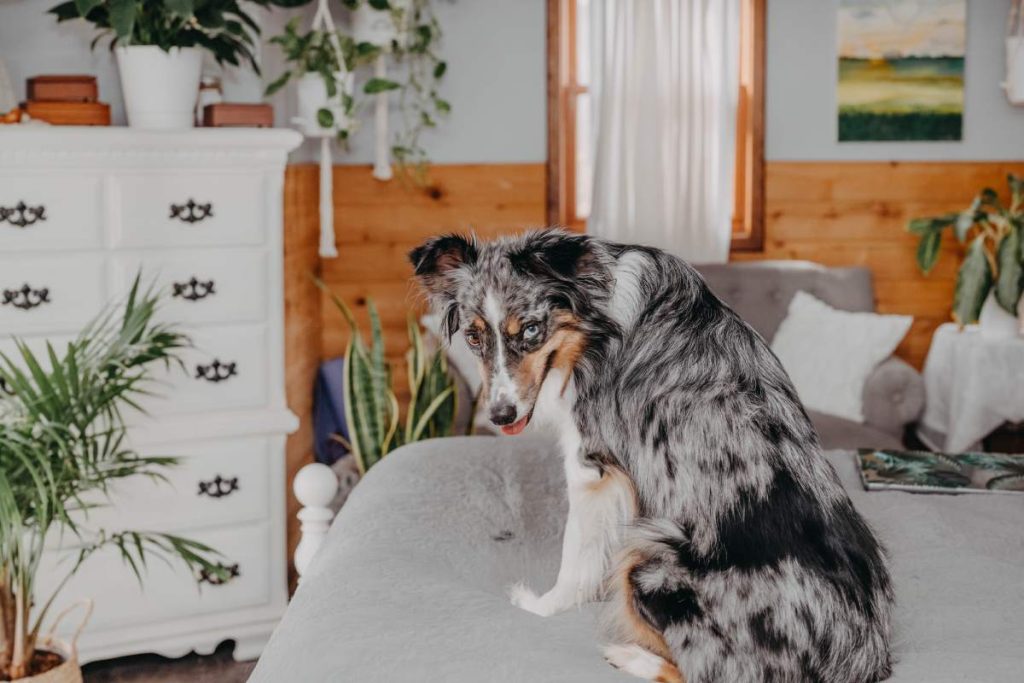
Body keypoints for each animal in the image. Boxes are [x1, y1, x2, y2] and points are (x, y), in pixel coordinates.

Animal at [407, 231, 888, 683]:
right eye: (473, 337)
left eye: (530, 330)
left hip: (650, 549)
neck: (595, 316)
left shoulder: (590, 465)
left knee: (708, 671)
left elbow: (575, 553)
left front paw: (541, 608)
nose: (500, 415)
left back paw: (630, 656)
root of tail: (862, 657)